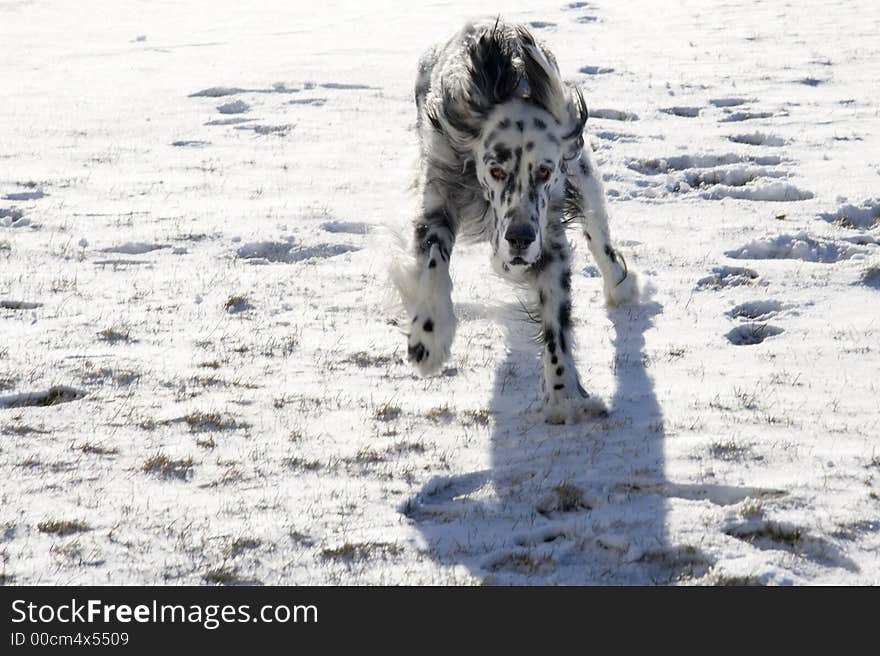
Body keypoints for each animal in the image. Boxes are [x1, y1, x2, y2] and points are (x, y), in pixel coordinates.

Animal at [396, 19, 636, 426]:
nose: (520, 239)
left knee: (600, 238)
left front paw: (563, 394)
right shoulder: (439, 196)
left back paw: (621, 286)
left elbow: (556, 320)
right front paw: (429, 339)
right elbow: (433, 265)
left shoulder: (549, 236)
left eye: (544, 171)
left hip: (583, 175)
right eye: (495, 170)